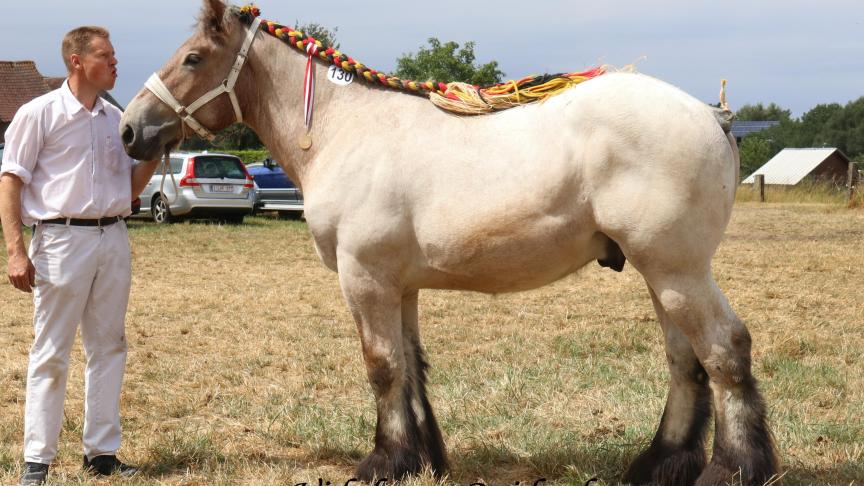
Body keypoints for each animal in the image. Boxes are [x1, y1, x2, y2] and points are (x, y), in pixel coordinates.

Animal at [120, 1, 784, 484]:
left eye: (194, 58)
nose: (130, 128)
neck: (345, 129)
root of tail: (712, 116)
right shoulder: (399, 285)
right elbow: (412, 367)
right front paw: (422, 459)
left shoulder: (364, 278)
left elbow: (382, 368)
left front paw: (381, 463)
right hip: (661, 273)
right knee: (685, 361)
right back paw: (658, 464)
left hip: (677, 270)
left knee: (724, 350)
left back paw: (733, 469)